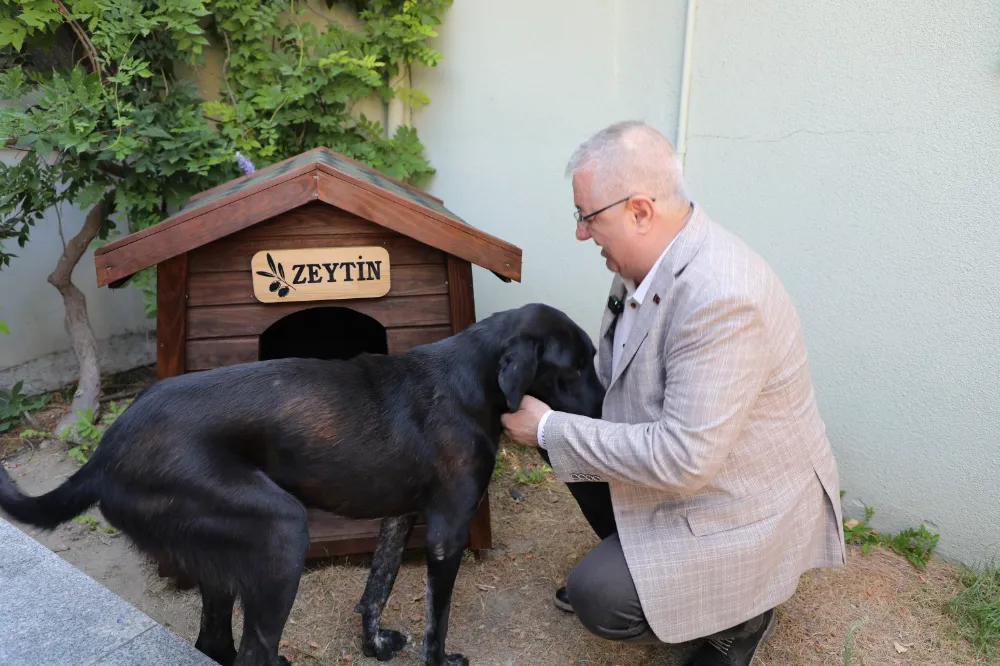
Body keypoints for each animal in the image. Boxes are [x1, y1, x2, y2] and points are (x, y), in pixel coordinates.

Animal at [0, 302, 604, 664]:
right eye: (577, 367)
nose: (605, 410)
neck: (470, 378)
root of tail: (104, 454)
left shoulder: (400, 516)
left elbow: (377, 587)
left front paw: (374, 645)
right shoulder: (446, 534)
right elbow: (438, 620)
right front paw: (440, 659)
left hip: (221, 560)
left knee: (214, 641)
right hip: (281, 533)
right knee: (250, 652)